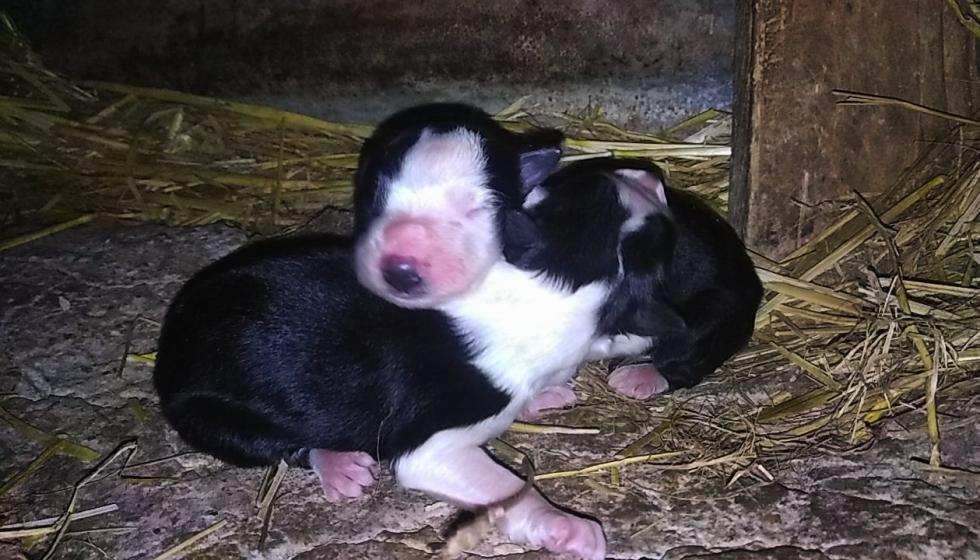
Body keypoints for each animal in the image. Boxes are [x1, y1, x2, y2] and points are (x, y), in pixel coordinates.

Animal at [154, 103, 660, 560]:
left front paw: (553, 393)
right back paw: (339, 465)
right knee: (275, 445)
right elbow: (507, 489)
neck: (545, 279)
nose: (648, 176)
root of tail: (174, 332)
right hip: (204, 413)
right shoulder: (434, 450)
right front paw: (568, 528)